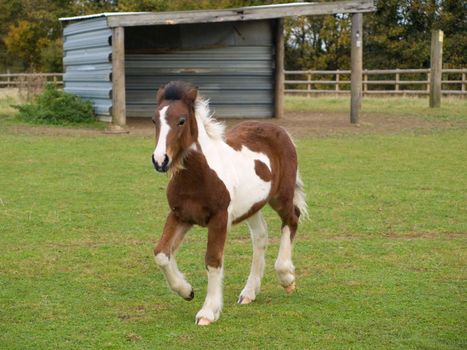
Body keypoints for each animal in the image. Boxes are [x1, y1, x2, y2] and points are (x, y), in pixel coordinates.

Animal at [152, 81, 308, 326]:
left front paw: (208, 312)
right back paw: (249, 292)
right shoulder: (180, 215)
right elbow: (161, 253)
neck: (198, 176)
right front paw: (187, 291)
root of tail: (281, 131)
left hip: (281, 196)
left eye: (181, 120)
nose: (160, 160)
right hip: (251, 206)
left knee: (292, 219)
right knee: (260, 237)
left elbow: (213, 260)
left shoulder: (219, 218)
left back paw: (286, 278)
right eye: (154, 120)